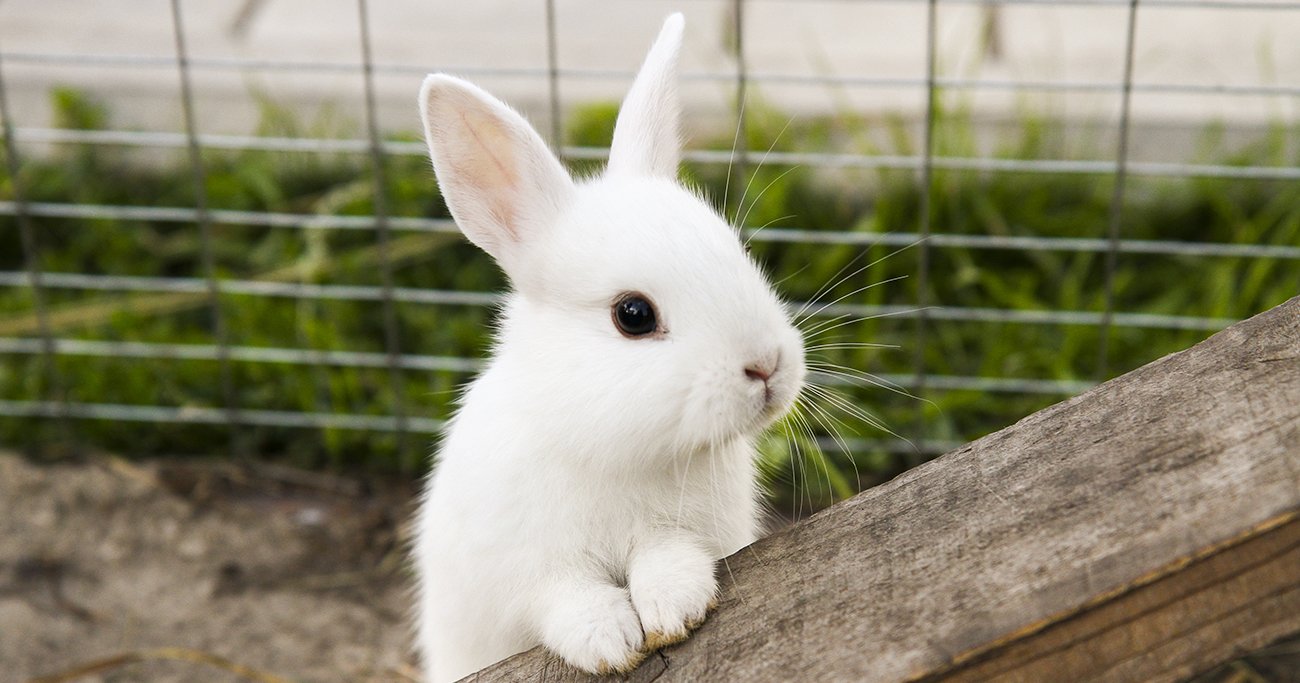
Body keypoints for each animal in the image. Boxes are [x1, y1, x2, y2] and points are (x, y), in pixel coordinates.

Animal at [413, 11, 800, 681]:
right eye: (633, 315)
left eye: (737, 252)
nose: (767, 366)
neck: (616, 450)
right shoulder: (527, 574)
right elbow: (566, 599)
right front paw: (611, 642)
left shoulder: (685, 530)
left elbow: (668, 556)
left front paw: (674, 609)